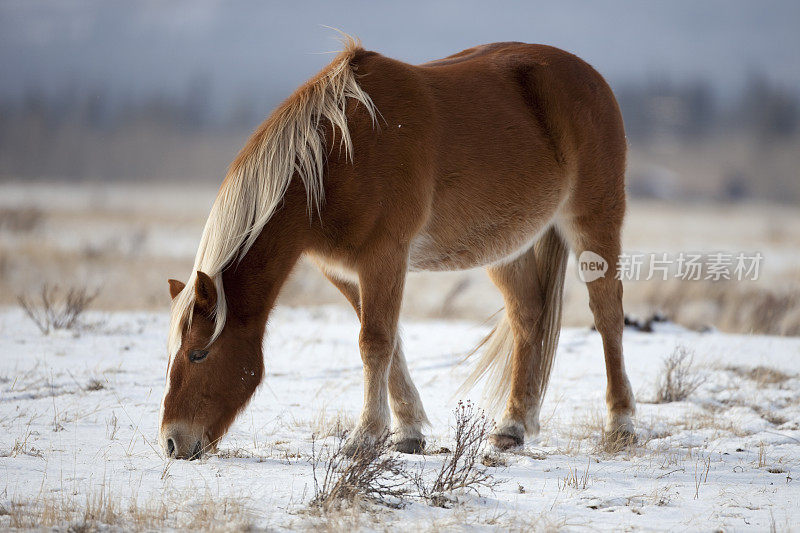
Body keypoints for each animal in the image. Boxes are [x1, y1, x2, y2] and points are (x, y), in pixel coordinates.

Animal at [156, 37, 636, 460]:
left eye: (198, 353)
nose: (172, 443)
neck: (336, 157)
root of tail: (590, 76)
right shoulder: (345, 270)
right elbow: (390, 343)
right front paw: (407, 432)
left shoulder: (384, 257)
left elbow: (374, 342)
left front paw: (363, 437)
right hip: (507, 247)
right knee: (527, 318)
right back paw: (512, 427)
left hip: (593, 221)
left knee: (607, 313)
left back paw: (621, 424)